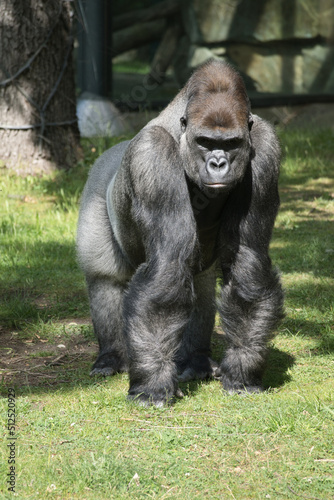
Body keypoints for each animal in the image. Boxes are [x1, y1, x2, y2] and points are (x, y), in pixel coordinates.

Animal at [76, 59, 284, 406]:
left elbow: (248, 260)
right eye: (205, 142)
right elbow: (166, 267)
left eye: (231, 144)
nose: (218, 163)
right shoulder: (152, 155)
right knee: (105, 277)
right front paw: (152, 384)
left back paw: (196, 361)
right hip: (94, 191)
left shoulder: (266, 148)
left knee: (200, 288)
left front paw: (242, 369)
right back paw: (110, 357)